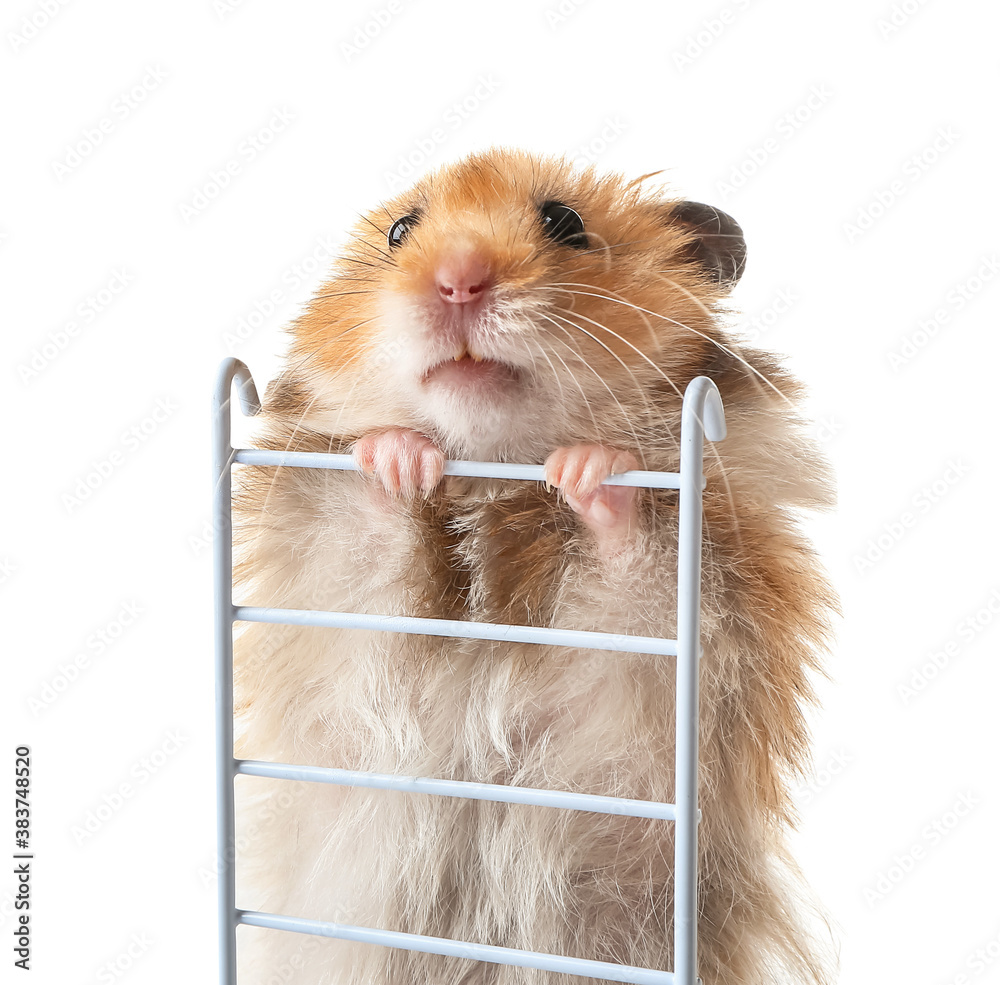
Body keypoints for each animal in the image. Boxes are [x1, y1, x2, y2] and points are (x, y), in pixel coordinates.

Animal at [232, 146, 836, 984]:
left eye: (565, 222)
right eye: (399, 231)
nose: (457, 280)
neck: (492, 480)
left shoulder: (678, 646)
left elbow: (628, 561)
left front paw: (588, 468)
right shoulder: (333, 611)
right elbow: (371, 531)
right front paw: (397, 456)